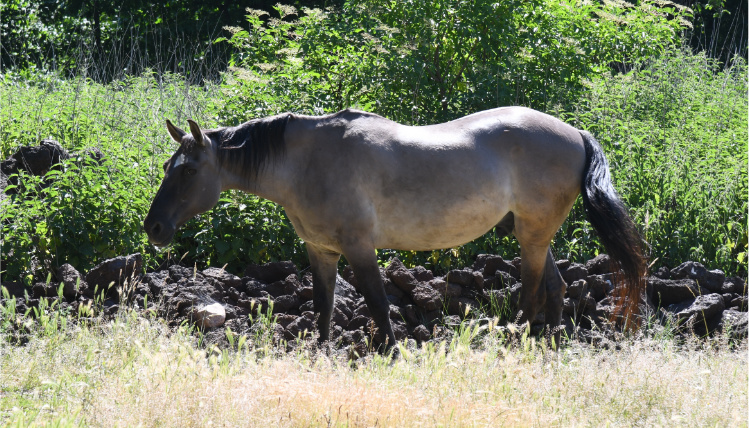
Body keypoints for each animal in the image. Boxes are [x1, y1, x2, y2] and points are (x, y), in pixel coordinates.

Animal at [143, 107, 644, 352]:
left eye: (189, 172)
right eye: (169, 167)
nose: (154, 228)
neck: (305, 163)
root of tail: (576, 133)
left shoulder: (359, 248)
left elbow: (379, 304)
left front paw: (391, 352)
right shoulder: (320, 250)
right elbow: (323, 307)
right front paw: (321, 352)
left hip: (532, 236)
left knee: (532, 293)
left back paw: (515, 343)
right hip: (534, 234)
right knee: (555, 288)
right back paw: (549, 345)